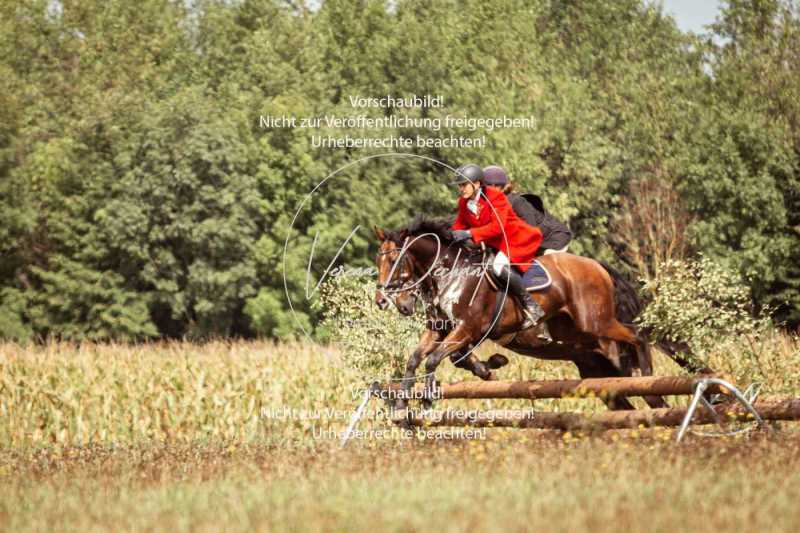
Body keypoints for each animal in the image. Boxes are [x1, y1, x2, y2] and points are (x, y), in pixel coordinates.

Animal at [374, 216, 668, 412]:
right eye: (379, 260)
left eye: (395, 261)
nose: (382, 301)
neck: (452, 273)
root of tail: (599, 267)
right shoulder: (440, 329)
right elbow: (416, 359)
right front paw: (401, 405)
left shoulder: (468, 329)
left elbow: (435, 359)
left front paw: (427, 399)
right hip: (594, 362)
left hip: (596, 324)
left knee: (637, 337)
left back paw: (647, 371)